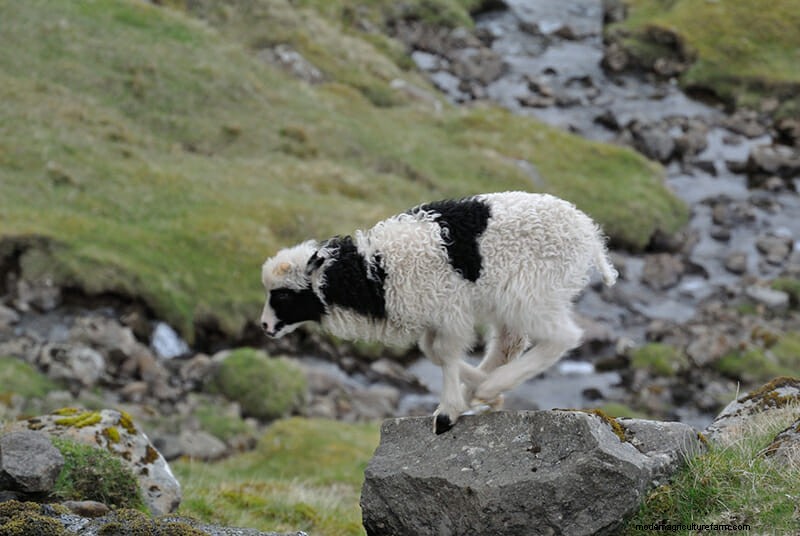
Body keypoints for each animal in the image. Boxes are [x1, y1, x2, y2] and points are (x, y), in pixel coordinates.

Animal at [260, 191, 617, 434]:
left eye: (283, 295)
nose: (264, 326)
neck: (373, 273)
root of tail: (590, 234)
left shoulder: (449, 310)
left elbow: (443, 354)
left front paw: (448, 412)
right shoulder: (435, 316)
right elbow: (432, 352)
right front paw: (473, 393)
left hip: (532, 293)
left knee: (562, 338)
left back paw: (491, 386)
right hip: (513, 300)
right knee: (508, 343)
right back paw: (486, 388)